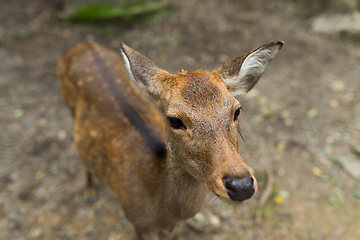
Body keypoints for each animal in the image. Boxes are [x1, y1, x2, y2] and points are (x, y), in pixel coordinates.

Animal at [56, 40, 282, 239]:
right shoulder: (138, 223)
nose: (241, 185)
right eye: (174, 120)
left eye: (237, 111)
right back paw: (89, 192)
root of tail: (82, 46)